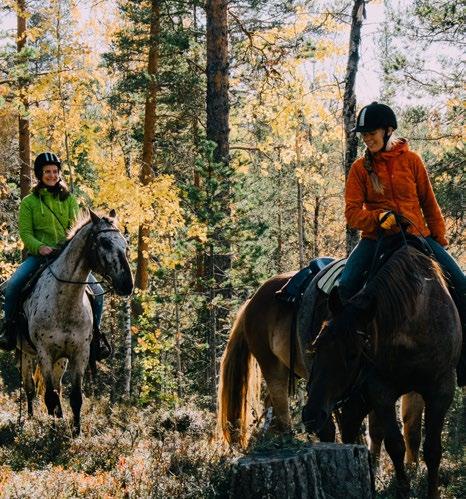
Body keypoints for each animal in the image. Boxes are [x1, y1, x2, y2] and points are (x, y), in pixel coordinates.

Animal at [17, 209, 132, 436]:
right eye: (104, 242)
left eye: (125, 244)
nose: (127, 284)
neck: (65, 302)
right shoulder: (44, 353)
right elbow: (49, 397)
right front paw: (52, 433)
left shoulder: (80, 353)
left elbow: (75, 398)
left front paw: (75, 433)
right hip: (27, 354)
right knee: (30, 388)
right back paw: (30, 419)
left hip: (61, 359)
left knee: (57, 389)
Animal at [302, 247, 458, 499]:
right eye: (317, 345)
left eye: (354, 353)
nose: (310, 414)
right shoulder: (380, 391)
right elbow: (395, 445)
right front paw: (402, 490)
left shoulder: (441, 389)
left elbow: (432, 449)